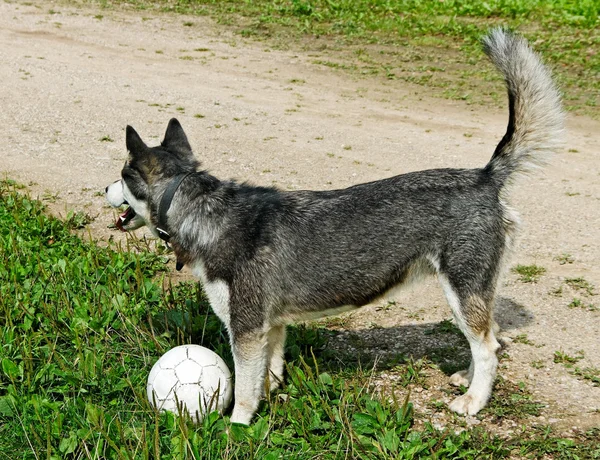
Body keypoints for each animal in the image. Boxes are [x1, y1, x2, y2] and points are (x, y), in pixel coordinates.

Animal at [106, 28, 564, 424]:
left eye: (122, 175)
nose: (104, 188)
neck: (205, 210)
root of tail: (485, 176)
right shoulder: (271, 328)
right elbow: (269, 373)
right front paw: (272, 399)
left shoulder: (246, 331)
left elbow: (245, 393)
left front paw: (236, 430)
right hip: (470, 294)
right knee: (490, 338)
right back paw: (467, 381)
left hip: (461, 290)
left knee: (487, 347)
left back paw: (473, 401)